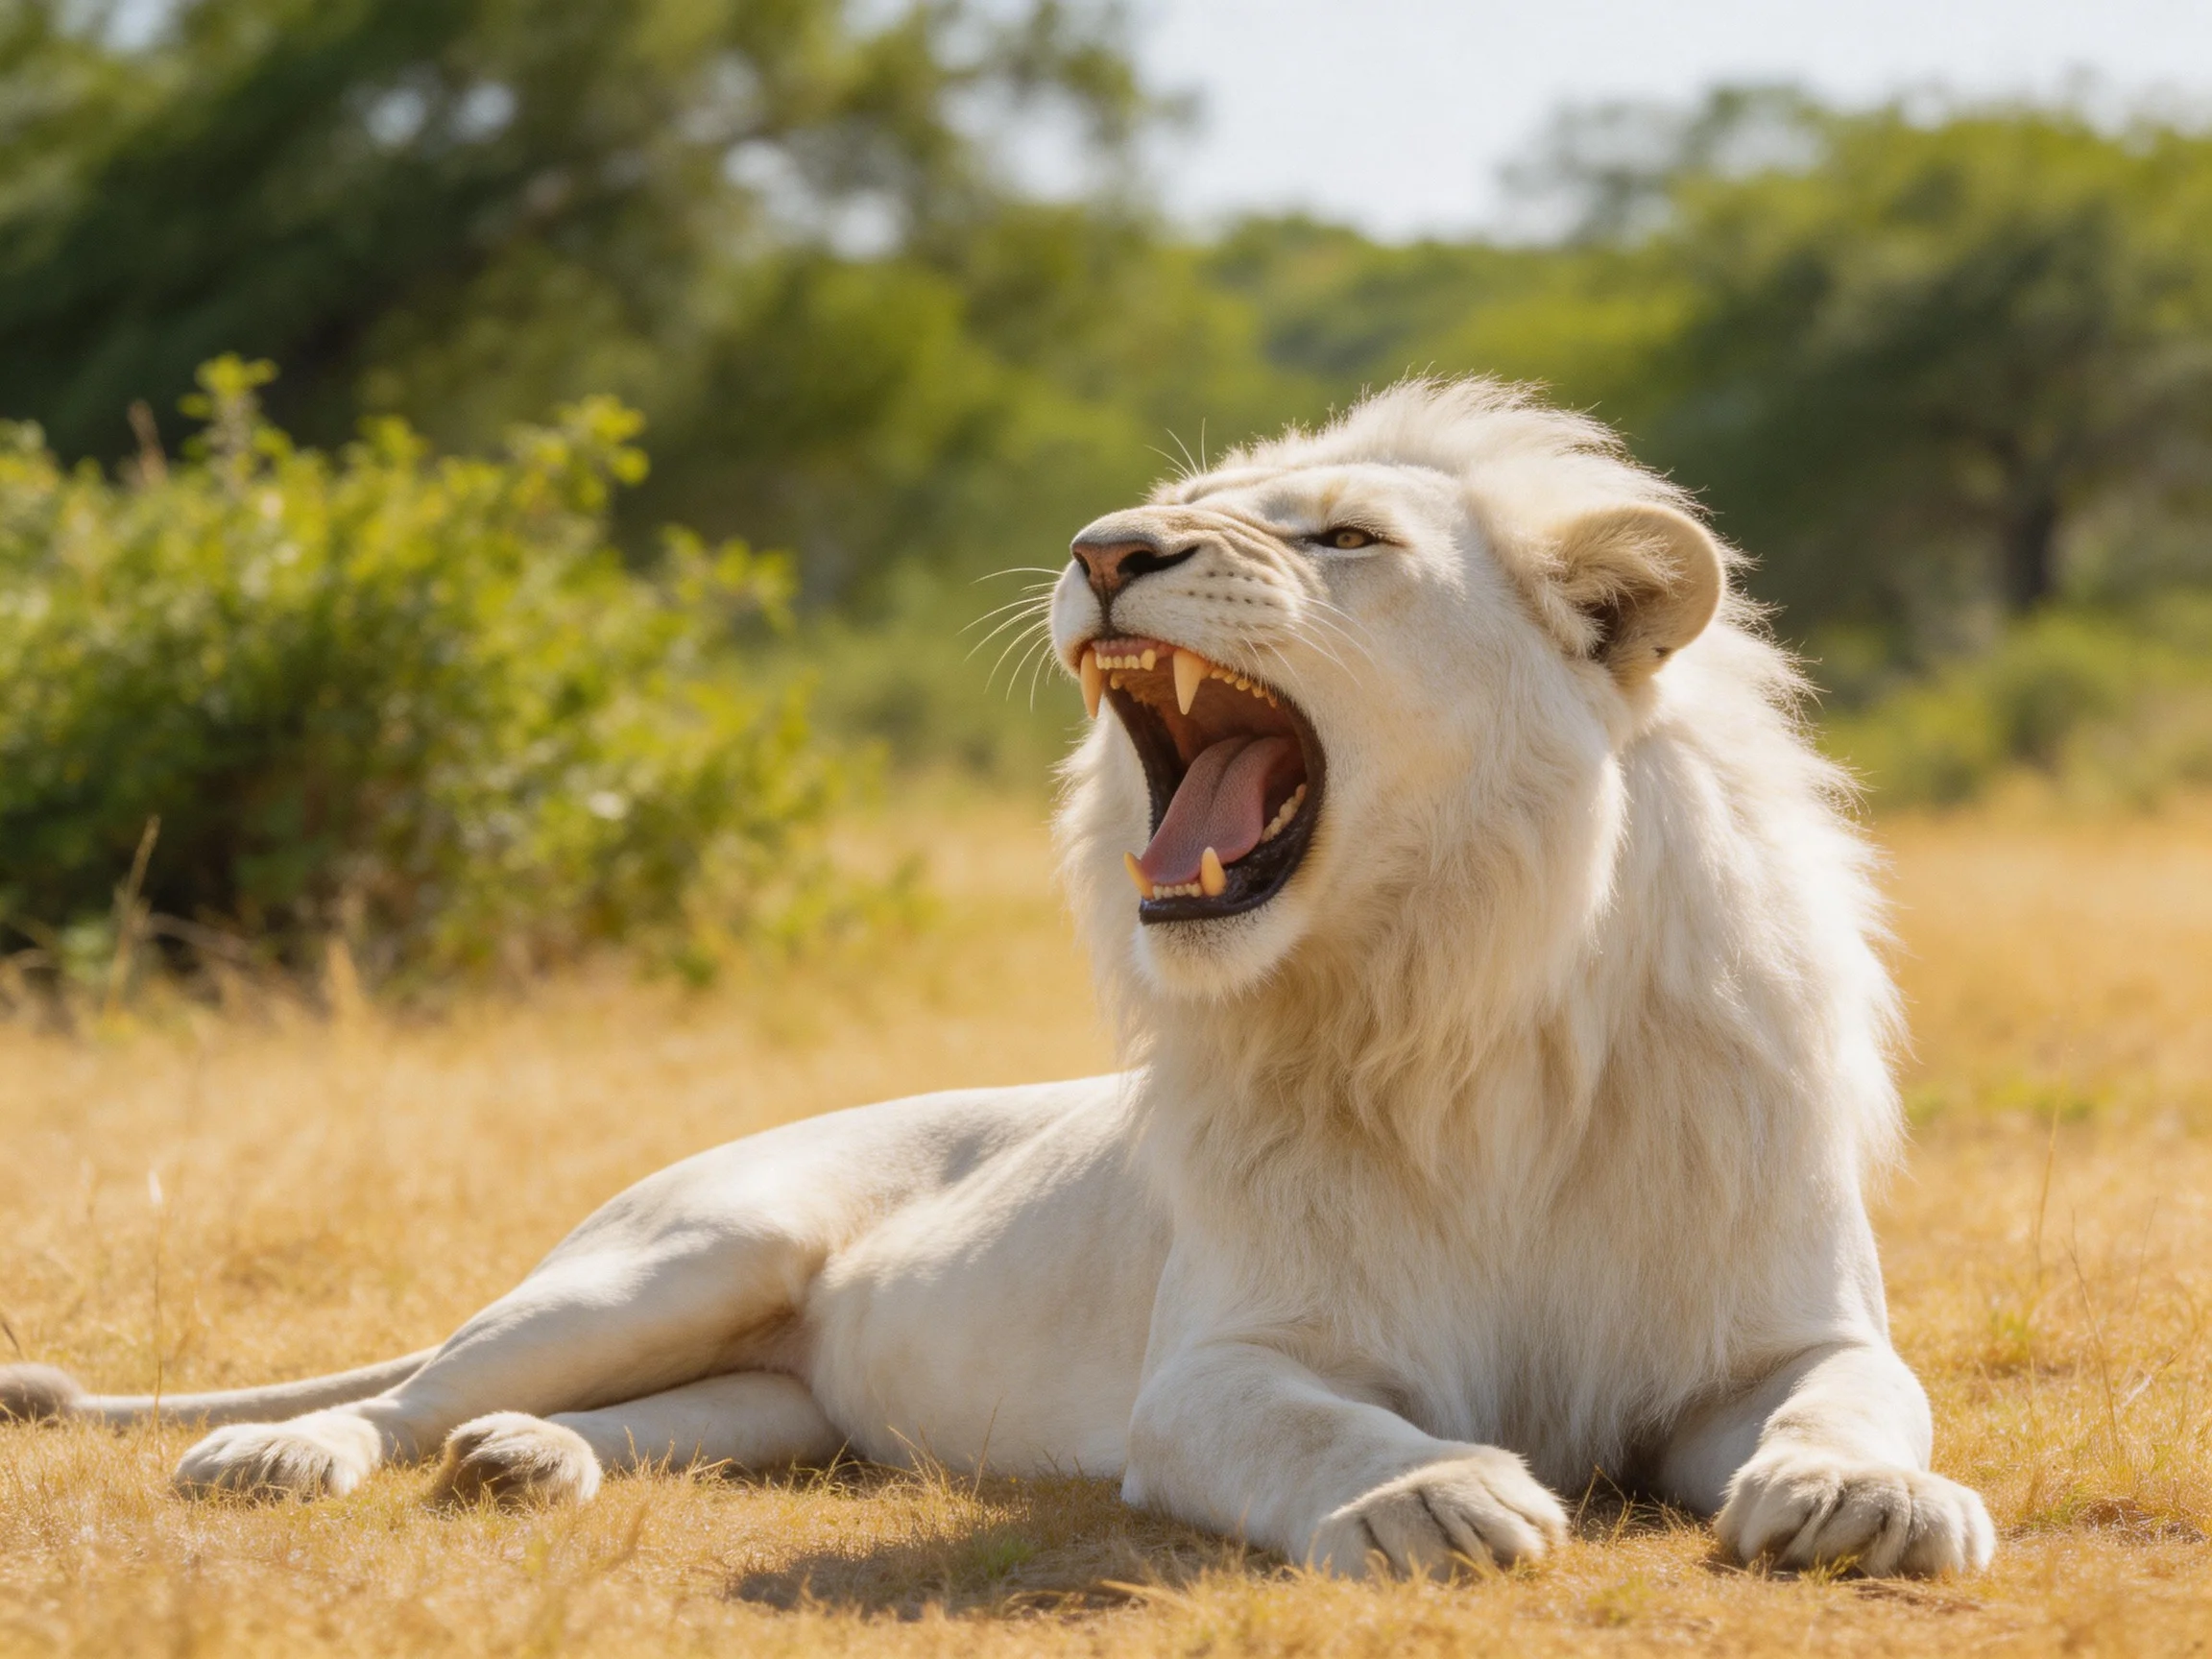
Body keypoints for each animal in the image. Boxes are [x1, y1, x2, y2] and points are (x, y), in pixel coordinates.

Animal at [1, 379, 1993, 1578]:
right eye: (1178, 509)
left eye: (1341, 537)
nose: (1105, 548)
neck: (1459, 1002)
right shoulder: (1213, 1370)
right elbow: (1316, 1422)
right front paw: (1429, 1493)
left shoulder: (1779, 1323)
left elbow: (1853, 1390)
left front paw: (1863, 1498)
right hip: (679, 1256)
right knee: (402, 1389)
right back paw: (293, 1458)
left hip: (772, 1391)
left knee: (641, 1423)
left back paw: (524, 1463)